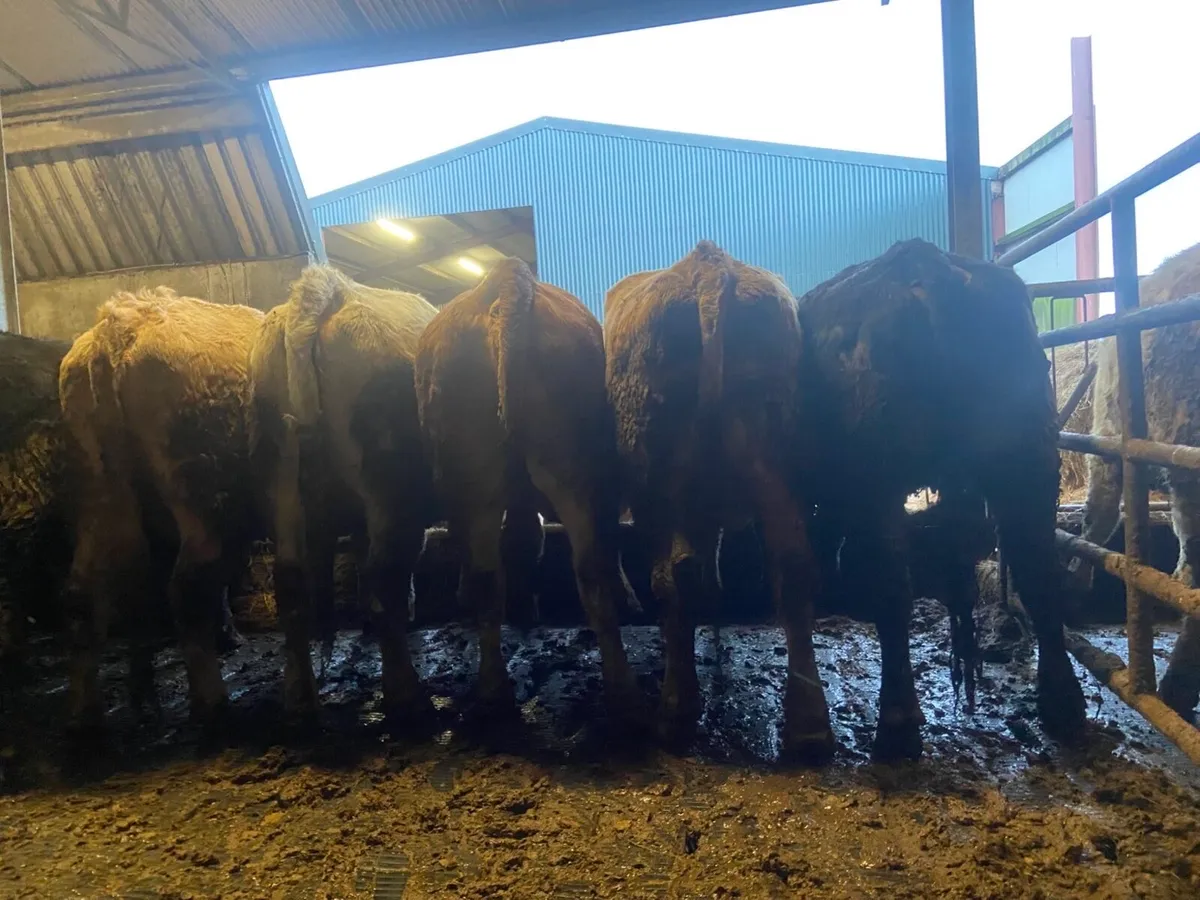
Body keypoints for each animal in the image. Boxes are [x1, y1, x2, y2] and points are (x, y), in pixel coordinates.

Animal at [59, 289, 263, 736]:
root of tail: (123, 323)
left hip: (102, 494)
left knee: (88, 594)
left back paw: (89, 715)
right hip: (208, 503)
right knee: (188, 589)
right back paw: (211, 704)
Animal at [249, 265, 439, 724]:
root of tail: (329, 288)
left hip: (280, 477)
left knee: (291, 580)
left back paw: (300, 698)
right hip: (390, 480)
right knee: (387, 571)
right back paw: (407, 695)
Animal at [415, 258, 642, 725]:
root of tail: (506, 277)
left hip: (477, 477)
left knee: (491, 574)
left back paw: (494, 693)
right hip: (573, 472)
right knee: (588, 567)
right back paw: (622, 691)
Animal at [605, 241, 831, 758]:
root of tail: (708, 267)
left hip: (653, 477)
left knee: (670, 578)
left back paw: (676, 710)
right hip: (773, 454)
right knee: (793, 567)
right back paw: (809, 728)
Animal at [793, 238, 1087, 757]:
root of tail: (928, 267)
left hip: (881, 481)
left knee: (892, 586)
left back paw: (897, 725)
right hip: (1028, 459)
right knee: (1039, 575)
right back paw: (1063, 705)